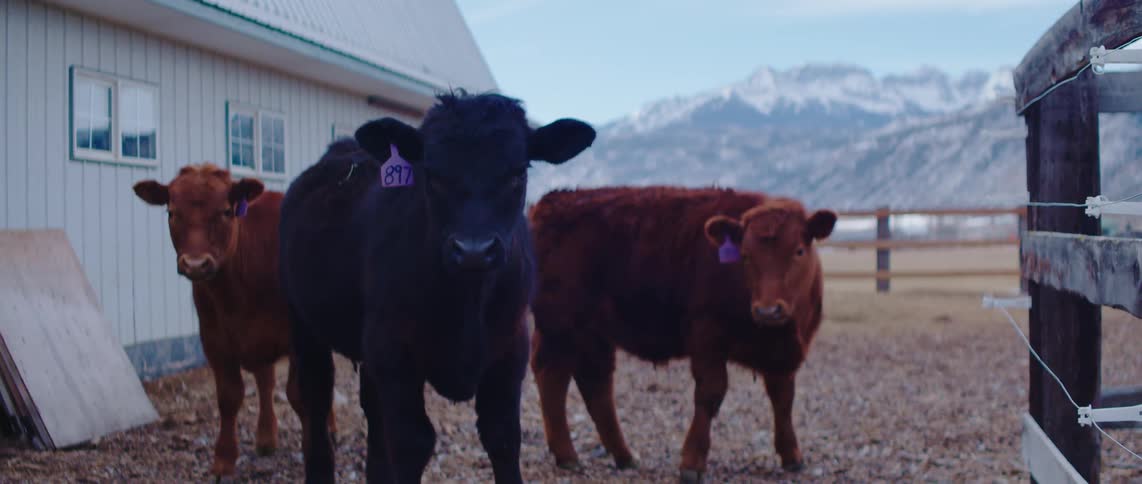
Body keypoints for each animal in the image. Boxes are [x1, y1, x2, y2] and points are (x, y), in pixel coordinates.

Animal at [133, 164, 337, 478]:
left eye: (226, 211)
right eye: (171, 212)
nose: (195, 264)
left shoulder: (297, 337)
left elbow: (300, 394)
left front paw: (313, 451)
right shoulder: (214, 339)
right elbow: (229, 397)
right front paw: (224, 459)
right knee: (265, 381)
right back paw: (266, 438)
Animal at [277, 91, 596, 483]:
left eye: (518, 172)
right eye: (432, 173)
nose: (473, 250)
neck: (467, 303)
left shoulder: (511, 345)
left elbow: (503, 435)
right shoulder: (394, 349)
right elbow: (413, 441)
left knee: (372, 410)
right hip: (304, 322)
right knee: (317, 399)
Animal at [527, 186, 836, 483]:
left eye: (798, 251)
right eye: (746, 256)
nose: (768, 310)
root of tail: (552, 202)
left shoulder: (783, 353)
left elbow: (783, 398)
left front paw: (792, 455)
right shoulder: (707, 340)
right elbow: (710, 393)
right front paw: (692, 463)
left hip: (593, 335)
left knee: (595, 384)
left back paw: (624, 455)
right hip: (561, 327)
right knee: (553, 377)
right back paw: (568, 455)